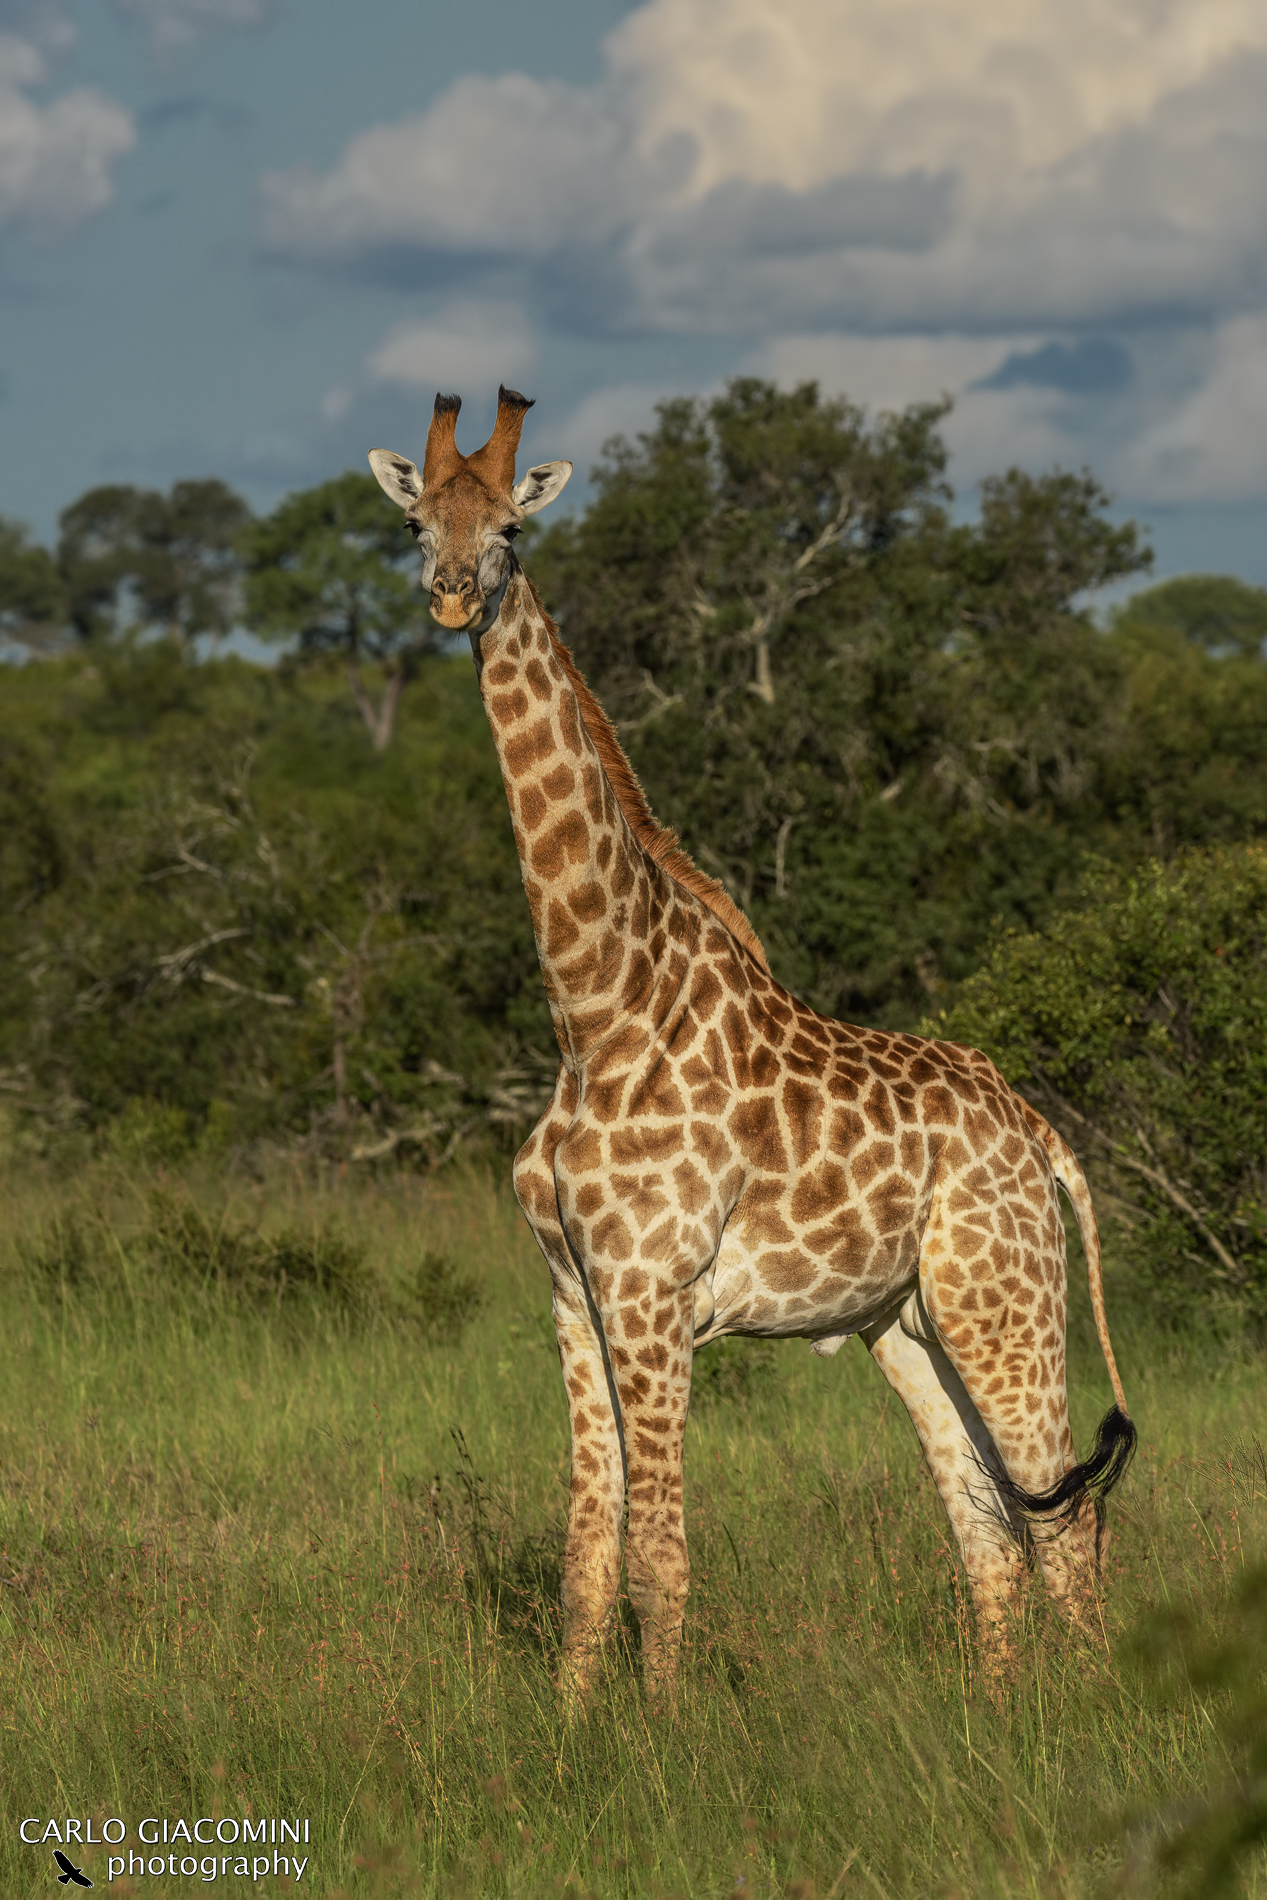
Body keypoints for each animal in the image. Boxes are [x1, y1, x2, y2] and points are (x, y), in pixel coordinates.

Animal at [369, 387, 1136, 1705]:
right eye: (417, 521)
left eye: (511, 528)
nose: (455, 594)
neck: (595, 1009)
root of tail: (1040, 1133)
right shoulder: (572, 1297)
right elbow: (585, 1555)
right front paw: (570, 1734)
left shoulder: (653, 1298)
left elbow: (658, 1558)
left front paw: (664, 1739)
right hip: (909, 1324)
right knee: (989, 1526)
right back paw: (999, 1719)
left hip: (1005, 1300)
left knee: (1064, 1522)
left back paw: (1088, 1722)